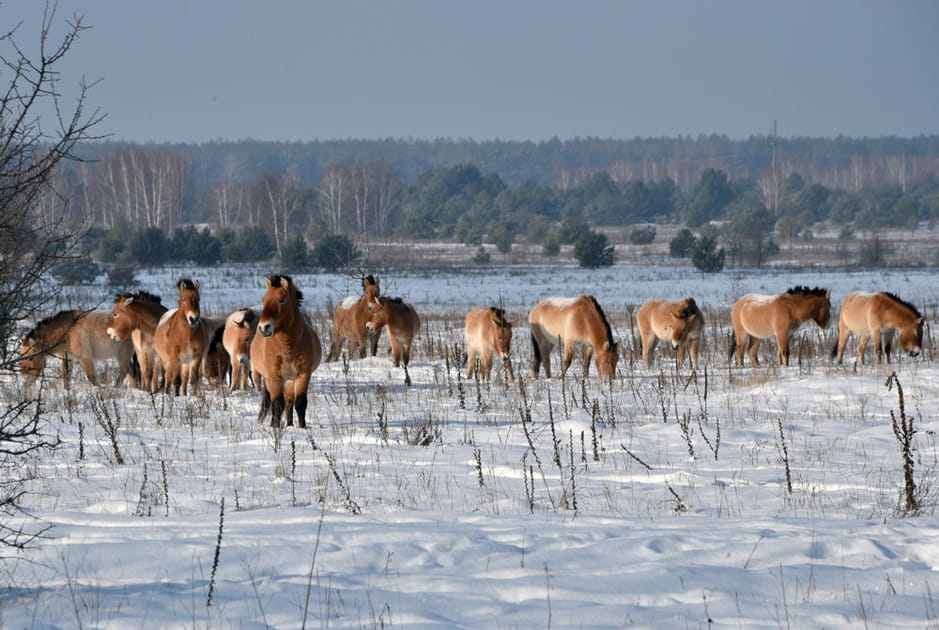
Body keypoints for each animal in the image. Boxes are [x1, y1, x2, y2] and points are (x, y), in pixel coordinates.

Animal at [250, 276, 324, 430]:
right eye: (264, 300)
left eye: (282, 300)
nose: (264, 327)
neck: (287, 347)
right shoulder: (274, 377)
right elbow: (277, 403)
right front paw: (274, 427)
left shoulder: (303, 375)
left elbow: (300, 402)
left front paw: (302, 427)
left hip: (290, 380)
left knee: (289, 401)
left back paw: (290, 423)